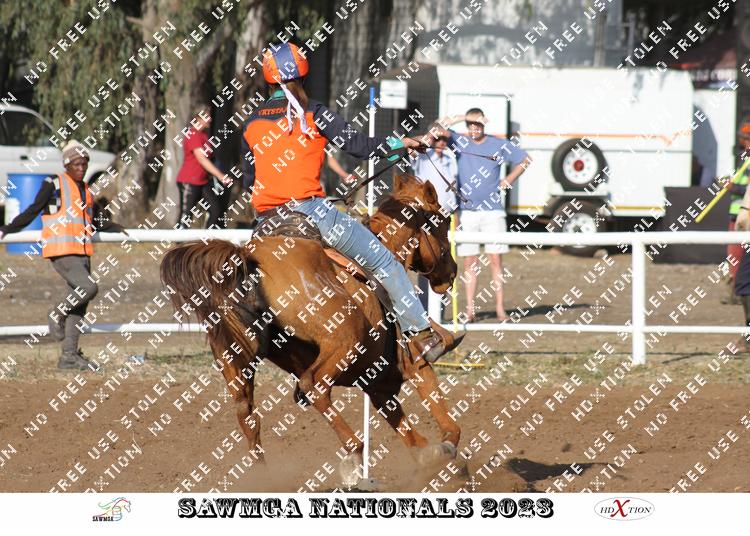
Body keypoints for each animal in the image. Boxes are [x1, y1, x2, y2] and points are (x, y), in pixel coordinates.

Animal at [160, 174, 464, 487]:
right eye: (441, 223)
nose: (450, 273)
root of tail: (248, 259)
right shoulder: (416, 366)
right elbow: (449, 425)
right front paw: (447, 453)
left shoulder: (377, 384)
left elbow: (413, 439)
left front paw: (430, 458)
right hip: (344, 340)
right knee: (313, 384)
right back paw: (354, 456)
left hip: (234, 361)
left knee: (246, 414)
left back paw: (265, 477)